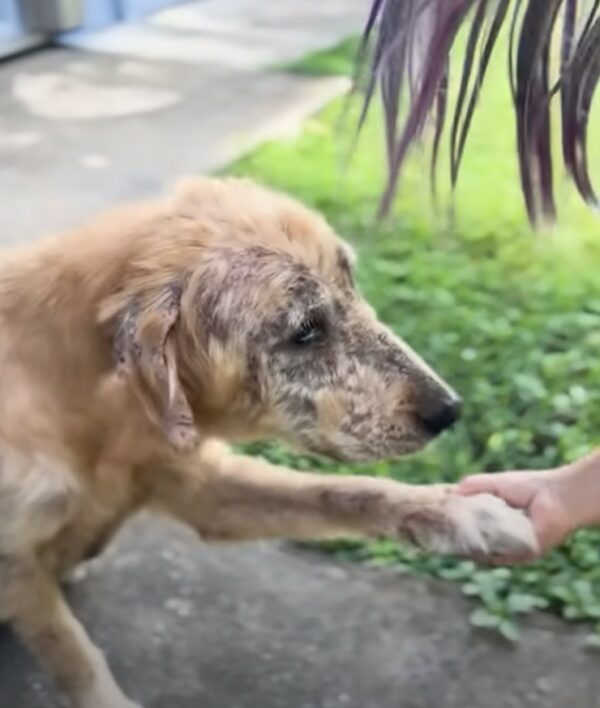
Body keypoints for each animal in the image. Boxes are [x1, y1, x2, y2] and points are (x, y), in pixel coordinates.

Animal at [0, 177, 536, 708]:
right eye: (306, 331)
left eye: (353, 286)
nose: (450, 410)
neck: (102, 417)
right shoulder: (17, 565)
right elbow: (72, 653)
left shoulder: (202, 487)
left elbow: (347, 492)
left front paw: (466, 513)